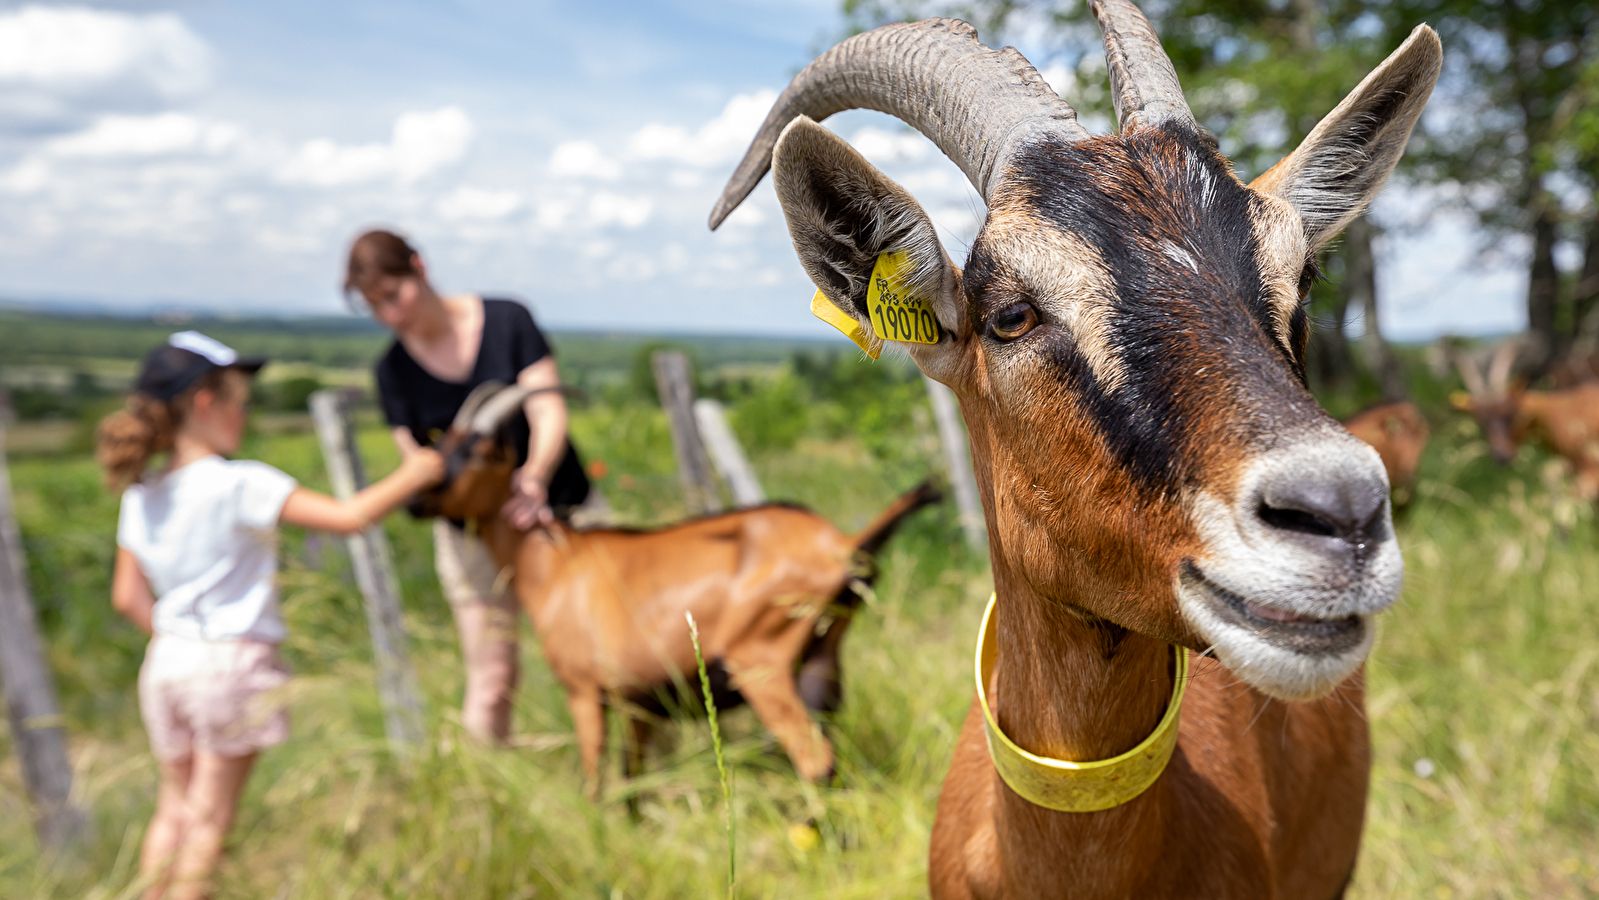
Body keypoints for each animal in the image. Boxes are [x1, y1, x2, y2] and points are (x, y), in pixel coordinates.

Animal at [412, 383, 940, 792]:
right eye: (439, 448)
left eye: (478, 453)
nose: (418, 500)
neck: (553, 560)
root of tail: (843, 545)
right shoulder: (638, 703)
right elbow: (633, 780)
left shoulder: (584, 691)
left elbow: (595, 780)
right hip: (821, 662)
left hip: (761, 664)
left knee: (817, 763)